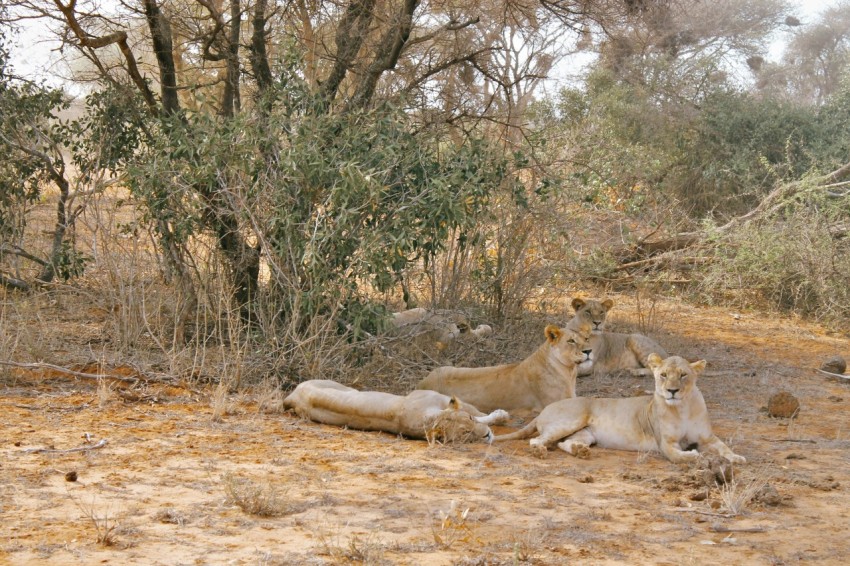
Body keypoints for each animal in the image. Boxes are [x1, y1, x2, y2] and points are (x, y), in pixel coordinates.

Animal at [284, 380, 506, 446]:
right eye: (465, 434)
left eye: (469, 421)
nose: (487, 435)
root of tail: (293, 396)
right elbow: (480, 412)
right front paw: (500, 415)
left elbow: (476, 411)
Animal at [416, 322, 588, 414]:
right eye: (571, 341)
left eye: (585, 339)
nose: (589, 351)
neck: (569, 372)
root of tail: (422, 383)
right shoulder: (557, 404)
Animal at [490, 356, 744, 466]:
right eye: (663, 375)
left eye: (683, 375)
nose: (672, 391)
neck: (682, 407)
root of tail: (543, 411)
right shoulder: (666, 443)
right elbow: (678, 455)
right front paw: (692, 455)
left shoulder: (707, 437)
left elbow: (724, 447)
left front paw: (737, 457)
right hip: (572, 419)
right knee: (537, 441)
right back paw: (541, 451)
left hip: (586, 433)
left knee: (564, 443)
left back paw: (581, 452)